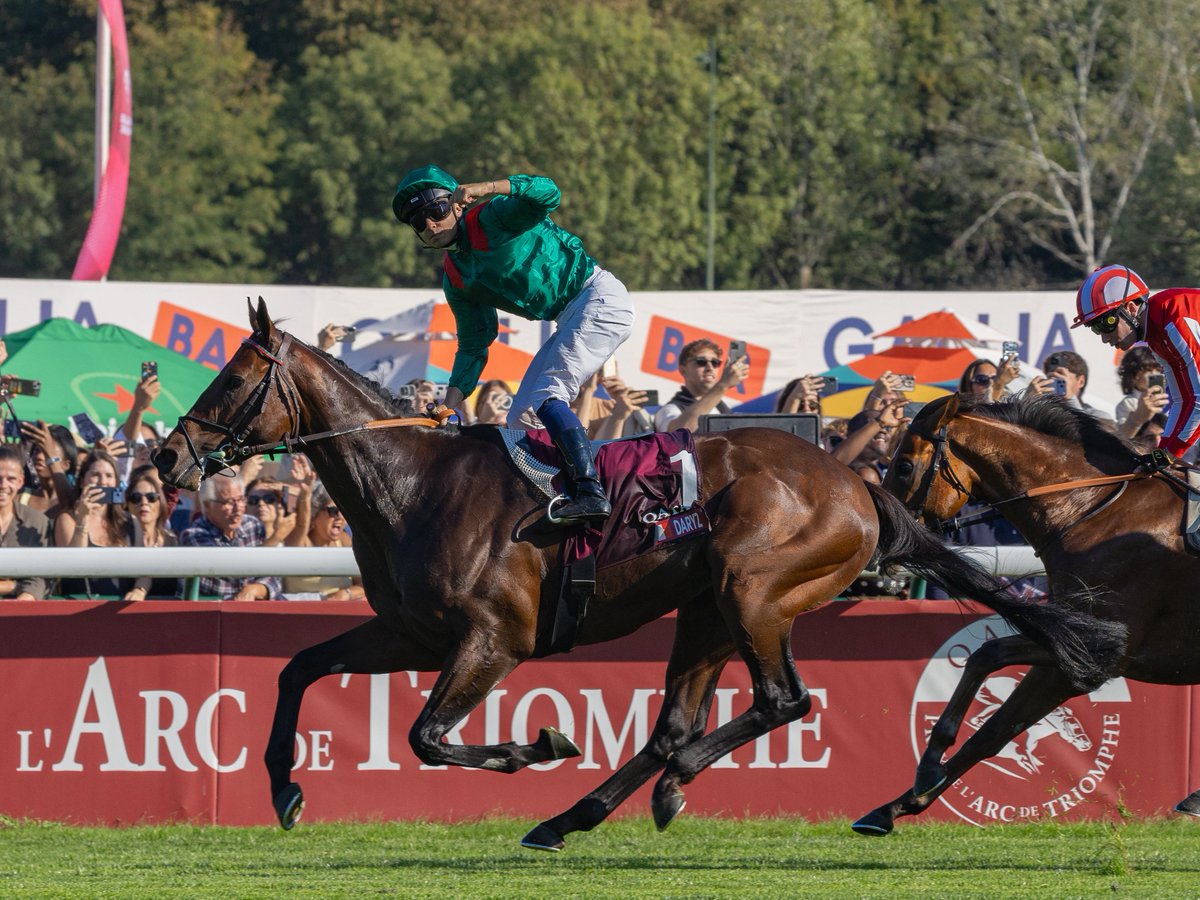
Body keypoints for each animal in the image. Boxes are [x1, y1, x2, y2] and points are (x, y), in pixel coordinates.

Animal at [155, 299, 1120, 851]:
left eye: (233, 377)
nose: (166, 457)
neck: (415, 486)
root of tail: (860, 484)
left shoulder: (491, 642)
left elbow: (426, 737)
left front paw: (537, 744)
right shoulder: (408, 631)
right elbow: (297, 668)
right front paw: (284, 790)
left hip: (751, 589)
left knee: (781, 700)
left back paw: (657, 786)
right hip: (704, 609)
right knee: (673, 726)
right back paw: (578, 815)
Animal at [852, 390, 1199, 836]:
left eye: (905, 465)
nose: (881, 536)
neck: (1093, 508)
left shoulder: (1095, 656)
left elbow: (995, 729)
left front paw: (911, 792)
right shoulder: (1071, 637)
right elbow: (989, 657)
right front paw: (910, 788)